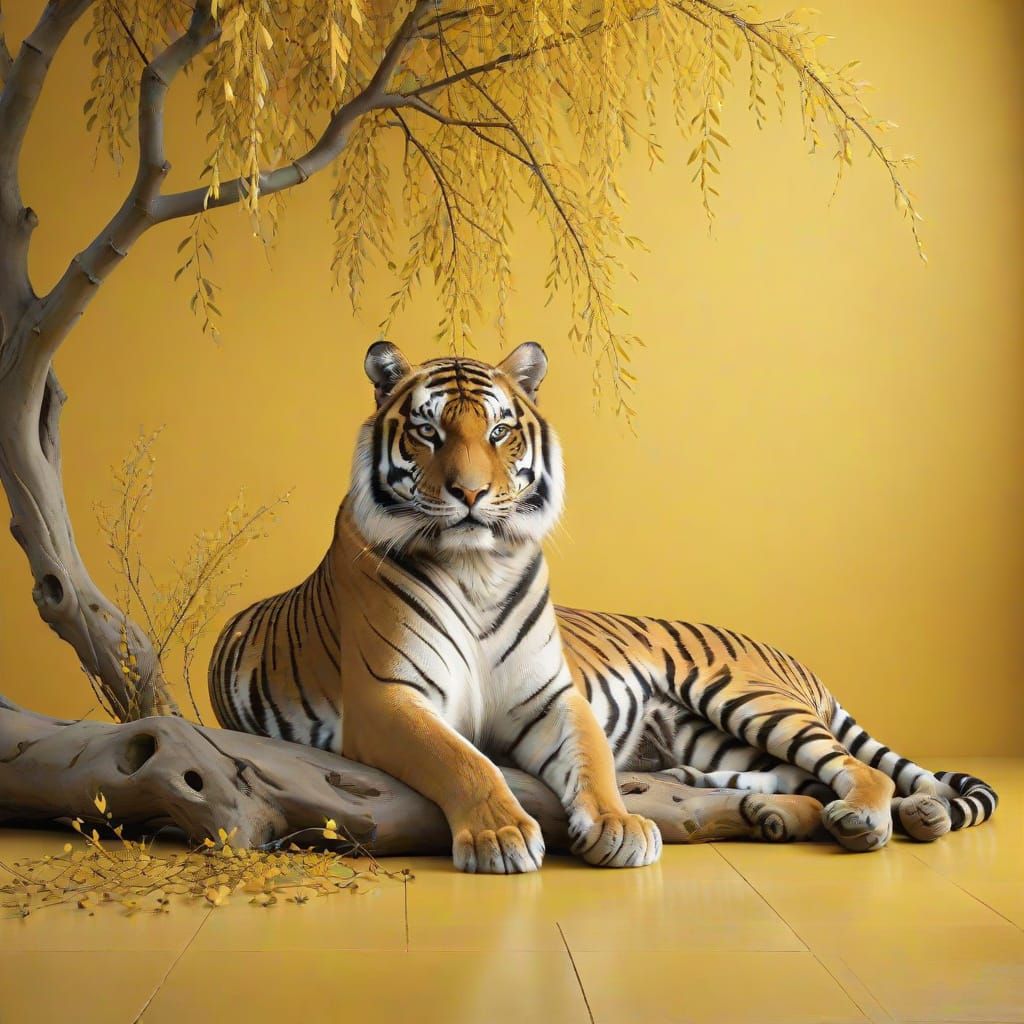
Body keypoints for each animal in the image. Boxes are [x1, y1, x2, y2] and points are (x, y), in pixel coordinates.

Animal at [209, 341, 998, 872]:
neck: (478, 566)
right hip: (708, 738)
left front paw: (619, 826)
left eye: (498, 430)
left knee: (857, 769)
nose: (469, 493)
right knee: (810, 777)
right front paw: (500, 837)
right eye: (428, 430)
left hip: (743, 697)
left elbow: (589, 759)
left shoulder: (550, 696)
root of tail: (791, 660)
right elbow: (463, 759)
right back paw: (803, 812)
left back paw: (869, 817)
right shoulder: (387, 699)